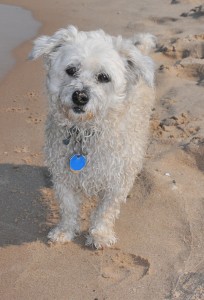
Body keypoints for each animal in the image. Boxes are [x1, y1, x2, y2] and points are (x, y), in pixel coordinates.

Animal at [29, 25, 155, 248]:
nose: (80, 96)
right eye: (71, 70)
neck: (84, 131)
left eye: (104, 77)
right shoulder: (63, 177)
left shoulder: (116, 180)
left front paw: (100, 234)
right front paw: (65, 231)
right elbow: (68, 207)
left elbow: (105, 210)